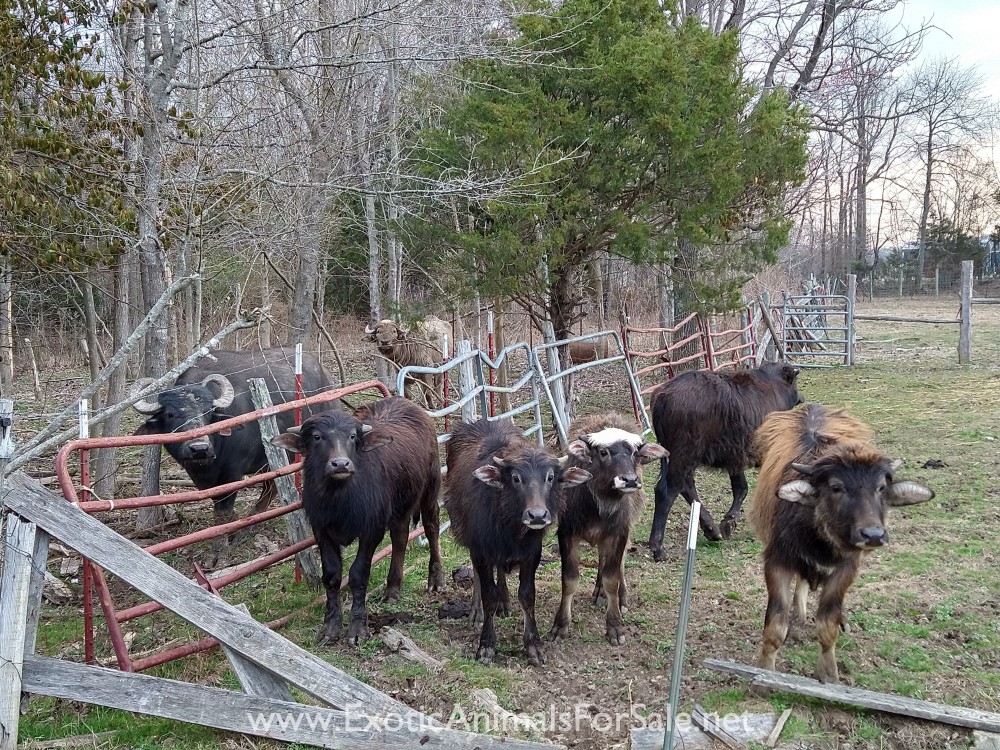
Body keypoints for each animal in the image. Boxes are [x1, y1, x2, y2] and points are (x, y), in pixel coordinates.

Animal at [271, 396, 444, 645]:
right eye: (317, 437)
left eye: (352, 436)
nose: (340, 464)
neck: (340, 499)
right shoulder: (321, 530)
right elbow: (332, 576)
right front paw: (330, 627)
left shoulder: (371, 529)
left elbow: (358, 574)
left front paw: (357, 628)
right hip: (400, 507)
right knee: (400, 538)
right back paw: (392, 589)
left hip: (430, 488)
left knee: (431, 528)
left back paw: (436, 580)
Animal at [550, 413, 668, 646]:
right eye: (603, 452)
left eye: (634, 453)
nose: (629, 480)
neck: (599, 506)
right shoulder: (567, 534)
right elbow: (569, 580)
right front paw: (560, 626)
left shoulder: (619, 534)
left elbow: (612, 578)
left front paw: (615, 626)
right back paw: (598, 592)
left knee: (616, 565)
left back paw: (620, 598)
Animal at [648, 363, 802, 559]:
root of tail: (662, 396)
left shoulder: (735, 458)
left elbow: (740, 487)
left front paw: (729, 522)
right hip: (682, 457)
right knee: (667, 491)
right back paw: (658, 547)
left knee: (686, 488)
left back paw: (712, 529)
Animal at [748, 403, 934, 683]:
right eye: (836, 487)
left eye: (881, 487)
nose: (873, 535)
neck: (819, 539)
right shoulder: (776, 562)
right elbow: (775, 626)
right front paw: (764, 673)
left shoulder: (845, 570)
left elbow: (827, 626)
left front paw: (829, 674)